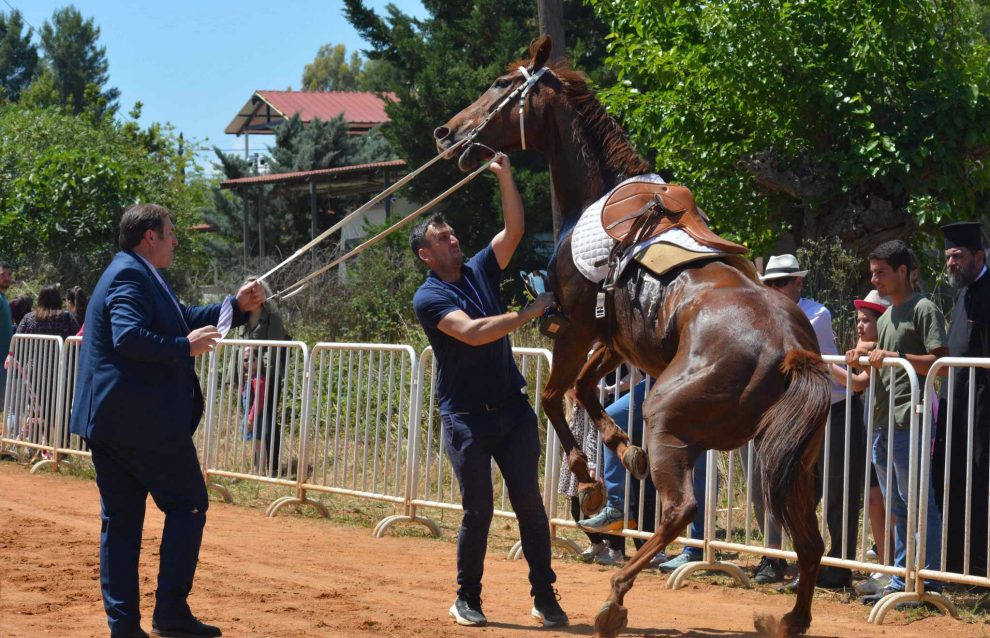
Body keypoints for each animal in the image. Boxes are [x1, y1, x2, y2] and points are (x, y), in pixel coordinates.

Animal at [438, 36, 832, 638]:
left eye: (503, 85)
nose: (448, 133)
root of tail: (791, 350)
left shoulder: (577, 327)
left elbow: (553, 395)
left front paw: (589, 477)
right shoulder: (617, 340)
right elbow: (583, 391)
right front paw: (623, 452)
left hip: (670, 419)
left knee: (680, 511)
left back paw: (615, 599)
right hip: (792, 461)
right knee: (809, 542)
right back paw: (788, 619)